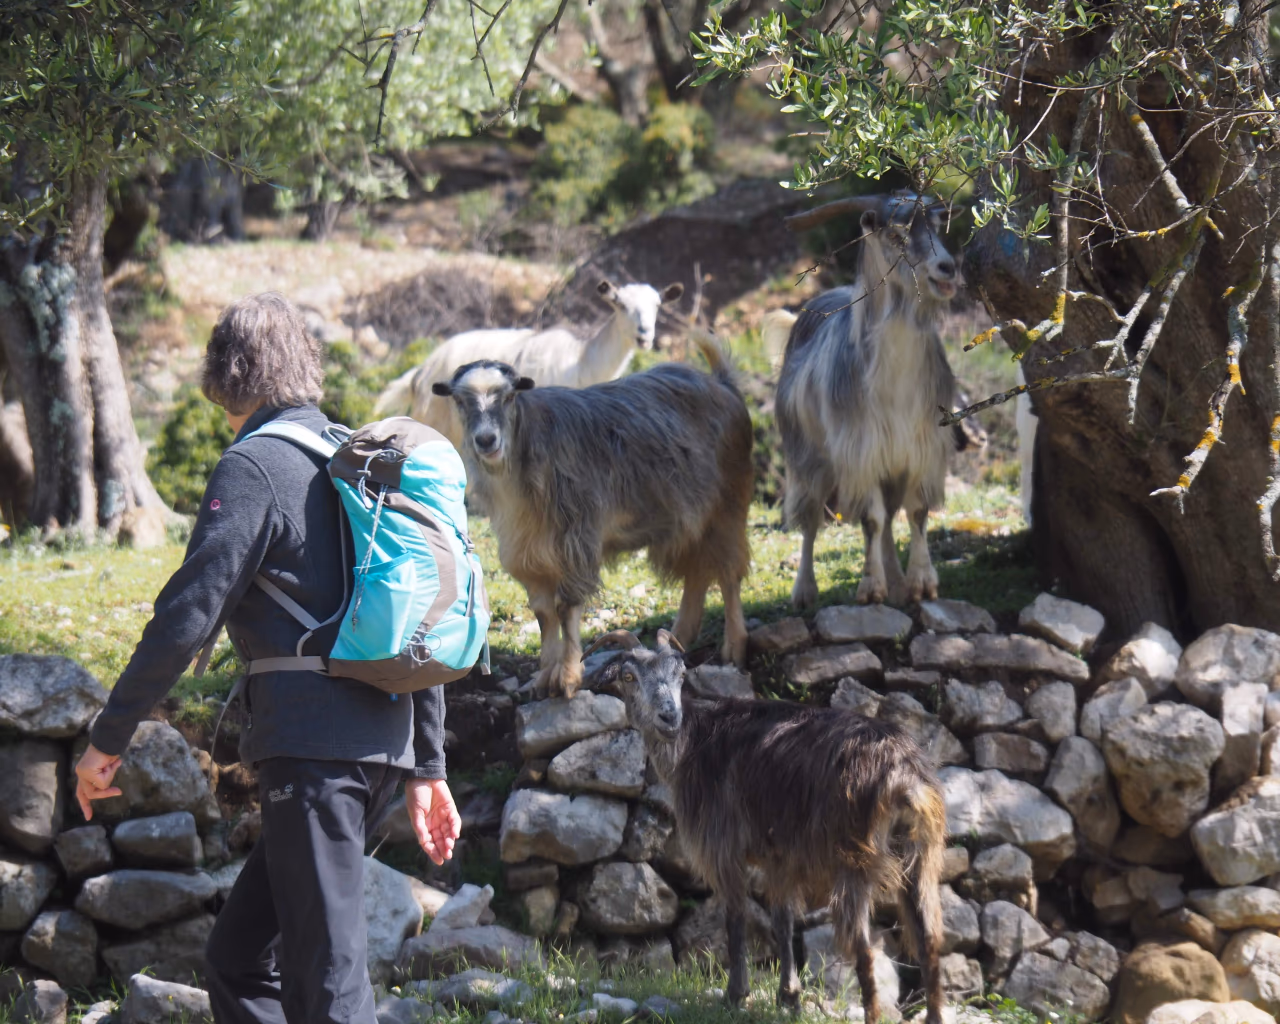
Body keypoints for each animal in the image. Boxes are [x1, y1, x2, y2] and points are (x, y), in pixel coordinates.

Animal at [430, 335, 752, 698]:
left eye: (509, 396)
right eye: (459, 400)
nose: (486, 440)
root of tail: (722, 383)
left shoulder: (576, 542)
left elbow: (566, 609)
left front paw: (568, 678)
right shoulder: (527, 551)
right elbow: (543, 613)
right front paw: (543, 677)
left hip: (728, 506)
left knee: (729, 572)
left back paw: (734, 647)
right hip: (687, 520)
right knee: (696, 570)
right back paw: (680, 637)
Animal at [584, 629, 946, 1024]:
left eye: (680, 674)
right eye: (629, 676)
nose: (668, 717)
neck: (695, 740)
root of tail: (903, 777)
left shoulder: (722, 845)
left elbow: (736, 915)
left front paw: (736, 994)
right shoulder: (779, 856)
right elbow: (783, 920)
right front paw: (789, 996)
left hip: (854, 861)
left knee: (864, 949)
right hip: (919, 856)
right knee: (928, 940)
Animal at [776, 191, 960, 609]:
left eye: (936, 226)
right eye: (895, 234)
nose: (948, 267)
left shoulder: (920, 449)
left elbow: (917, 512)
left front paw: (920, 582)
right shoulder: (860, 452)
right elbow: (870, 520)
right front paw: (871, 587)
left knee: (891, 517)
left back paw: (897, 579)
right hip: (809, 459)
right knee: (811, 520)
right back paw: (804, 590)